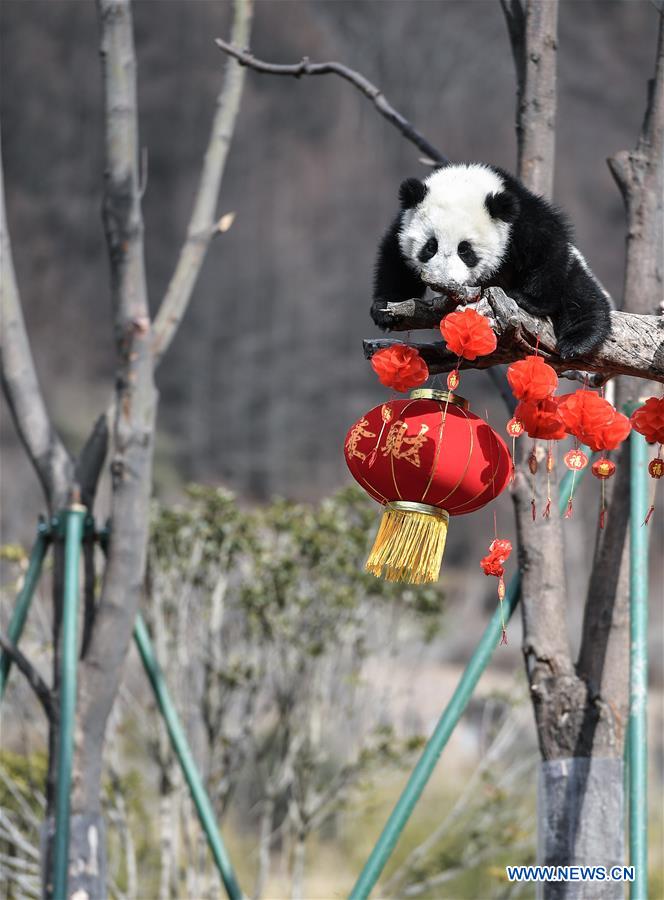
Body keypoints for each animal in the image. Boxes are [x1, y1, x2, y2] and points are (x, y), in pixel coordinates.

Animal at [370, 162, 608, 358]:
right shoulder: (402, 225)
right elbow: (395, 262)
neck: (468, 179)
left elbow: (548, 250)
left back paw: (578, 342)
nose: (444, 280)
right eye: (430, 246)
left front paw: (526, 300)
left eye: (465, 250)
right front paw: (385, 309)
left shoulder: (522, 222)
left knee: (580, 294)